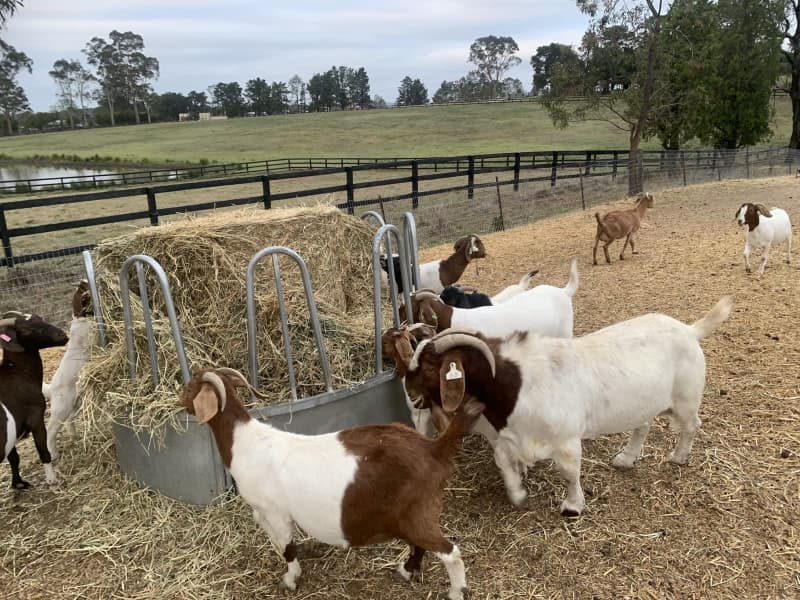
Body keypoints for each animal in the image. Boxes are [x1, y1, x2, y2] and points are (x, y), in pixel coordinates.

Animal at [1, 312, 69, 488]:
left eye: (40, 318)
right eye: (26, 330)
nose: (62, 335)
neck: (16, 373)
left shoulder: (12, 430)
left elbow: (14, 458)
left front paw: (18, 484)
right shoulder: (36, 419)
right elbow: (43, 451)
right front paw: (52, 479)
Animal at [43, 280, 94, 461]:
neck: (80, 318)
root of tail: (51, 389)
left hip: (73, 404)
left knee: (69, 421)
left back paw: (74, 436)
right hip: (61, 408)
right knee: (50, 431)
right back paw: (53, 454)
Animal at [182, 367, 484, 599]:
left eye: (191, 386)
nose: (179, 399)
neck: (245, 441)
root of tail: (434, 449)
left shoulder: (276, 512)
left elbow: (288, 548)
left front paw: (290, 580)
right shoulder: (262, 513)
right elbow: (281, 544)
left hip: (418, 512)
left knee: (449, 552)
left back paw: (456, 592)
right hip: (409, 515)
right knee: (419, 545)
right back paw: (406, 571)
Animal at [402, 296, 733, 516]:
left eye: (430, 367)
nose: (408, 388)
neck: (517, 384)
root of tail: (690, 330)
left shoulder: (565, 439)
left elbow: (570, 471)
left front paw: (573, 506)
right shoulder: (512, 436)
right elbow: (503, 461)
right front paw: (517, 493)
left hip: (687, 397)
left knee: (692, 425)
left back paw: (678, 457)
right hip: (644, 401)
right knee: (643, 424)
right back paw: (626, 458)